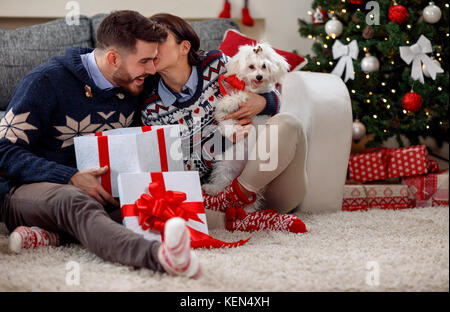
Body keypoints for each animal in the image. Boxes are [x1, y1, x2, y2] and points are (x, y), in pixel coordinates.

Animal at [203, 41, 290, 211]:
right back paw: (213, 190)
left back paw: (248, 210)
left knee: (253, 197)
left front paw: (231, 102)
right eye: (251, 66)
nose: (259, 76)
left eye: (264, 66)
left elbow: (242, 95)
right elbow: (224, 117)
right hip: (226, 164)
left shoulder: (255, 99)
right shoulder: (225, 116)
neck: (254, 89)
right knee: (222, 181)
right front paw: (229, 114)